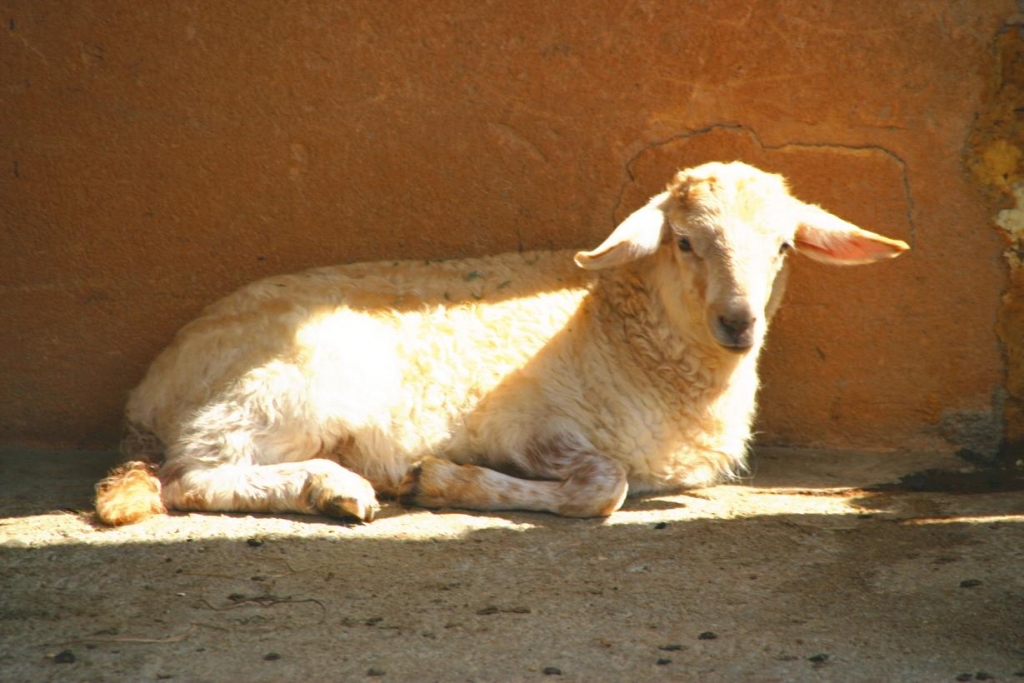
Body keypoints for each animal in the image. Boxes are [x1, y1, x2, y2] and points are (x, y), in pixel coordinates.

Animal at [96, 162, 909, 528]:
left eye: (782, 248)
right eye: (683, 241)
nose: (739, 323)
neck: (624, 329)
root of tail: (150, 388)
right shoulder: (534, 424)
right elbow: (603, 485)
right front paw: (442, 480)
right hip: (279, 389)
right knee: (194, 477)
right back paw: (338, 486)